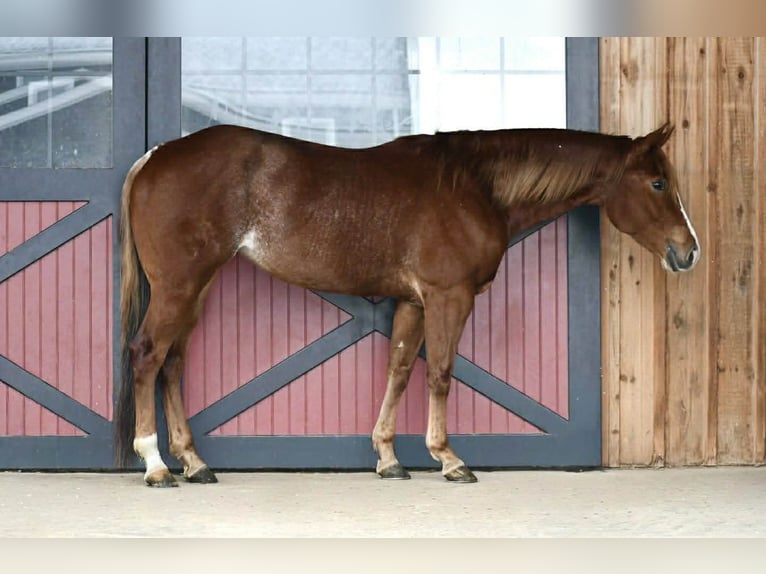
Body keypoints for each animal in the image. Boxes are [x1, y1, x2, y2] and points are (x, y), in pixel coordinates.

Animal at [114, 121, 700, 487]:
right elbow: (439, 372)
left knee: (173, 362)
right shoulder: (447, 296)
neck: (473, 187)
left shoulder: (413, 302)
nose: (688, 251)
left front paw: (389, 457)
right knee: (147, 355)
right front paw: (449, 459)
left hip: (197, 287)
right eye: (657, 182)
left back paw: (194, 463)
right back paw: (156, 464)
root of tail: (155, 157)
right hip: (178, 286)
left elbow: (398, 369)